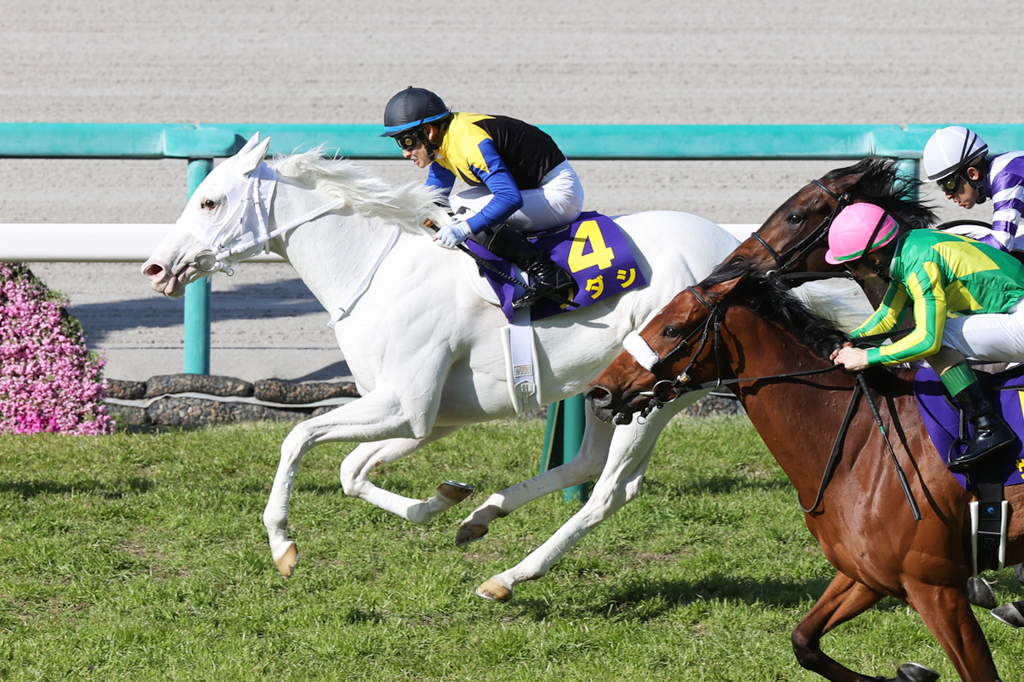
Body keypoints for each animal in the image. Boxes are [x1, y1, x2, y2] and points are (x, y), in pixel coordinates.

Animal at [140, 133, 741, 602]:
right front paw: (441, 501)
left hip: (662, 389)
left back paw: (509, 577)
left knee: (611, 491)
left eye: (209, 201)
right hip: (611, 389)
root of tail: (730, 242)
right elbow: (351, 472)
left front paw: (283, 545)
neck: (376, 270)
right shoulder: (430, 415)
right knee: (587, 463)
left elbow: (298, 437)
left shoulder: (407, 405)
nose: (154, 267)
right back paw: (483, 517)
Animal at [585, 258, 1024, 675]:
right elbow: (803, 641)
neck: (862, 441)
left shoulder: (935, 588)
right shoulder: (868, 574)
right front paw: (909, 674)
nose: (599, 392)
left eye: (672, 329)